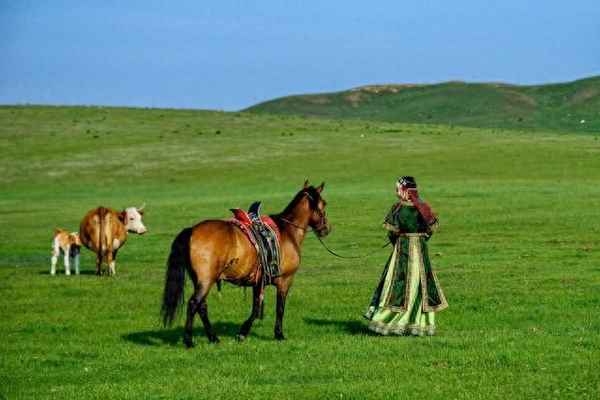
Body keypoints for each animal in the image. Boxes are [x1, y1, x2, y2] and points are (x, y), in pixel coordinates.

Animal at [162, 181, 330, 346]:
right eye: (324, 204)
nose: (326, 229)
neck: (288, 231)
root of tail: (192, 230)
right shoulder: (285, 281)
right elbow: (279, 308)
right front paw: (278, 334)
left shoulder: (258, 281)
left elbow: (256, 308)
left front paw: (243, 333)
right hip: (206, 280)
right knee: (193, 304)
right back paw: (189, 341)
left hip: (201, 280)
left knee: (201, 306)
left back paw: (213, 338)